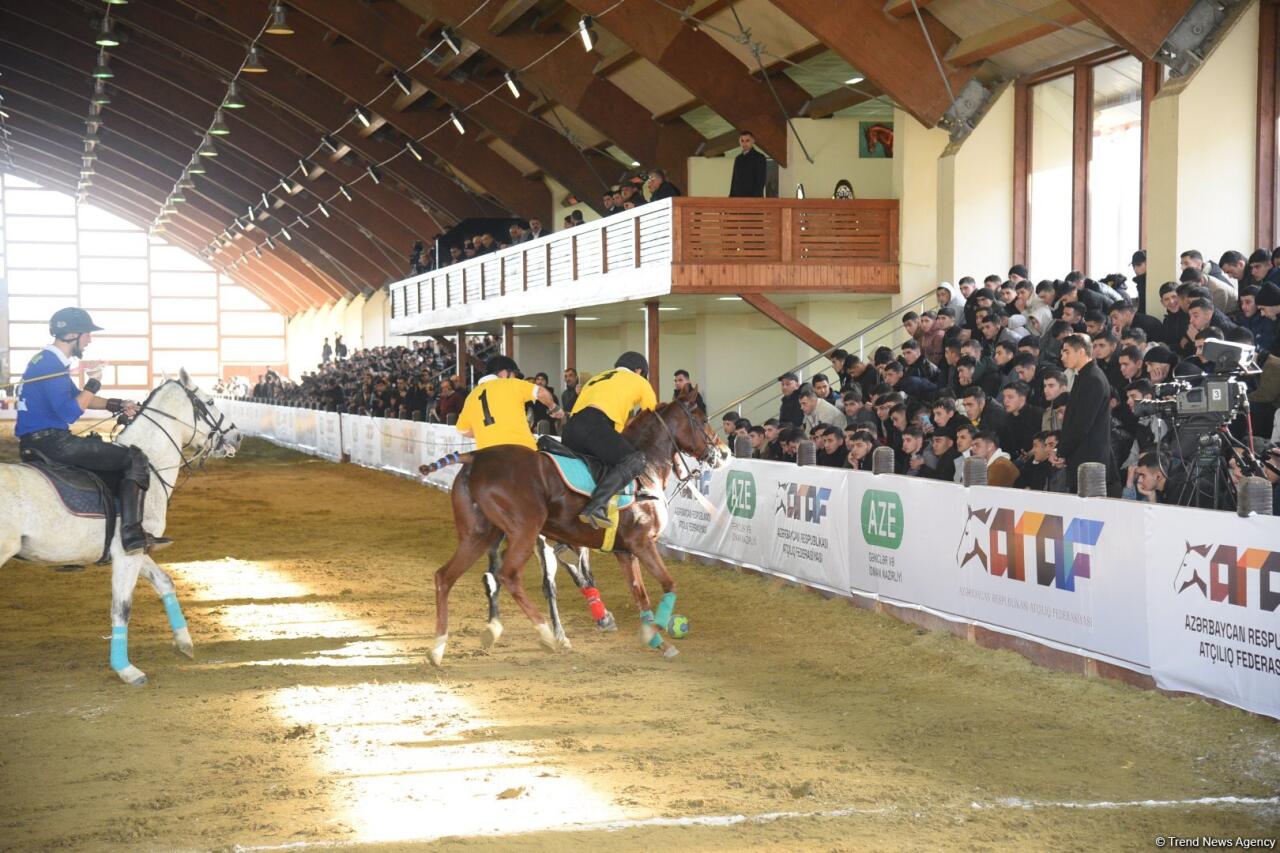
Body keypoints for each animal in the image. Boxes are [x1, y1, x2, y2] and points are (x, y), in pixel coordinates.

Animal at [0, 371, 240, 686]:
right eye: (210, 401)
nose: (236, 435)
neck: (153, 466)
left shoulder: (134, 547)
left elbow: (165, 582)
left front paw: (184, 642)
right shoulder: (128, 555)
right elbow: (121, 609)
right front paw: (127, 669)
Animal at [424, 384, 732, 666]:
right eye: (701, 418)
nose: (725, 452)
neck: (647, 471)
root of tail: (476, 457)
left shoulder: (625, 552)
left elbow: (640, 596)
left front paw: (656, 640)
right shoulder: (642, 543)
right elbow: (669, 584)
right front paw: (655, 632)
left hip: (478, 534)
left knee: (446, 577)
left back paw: (439, 647)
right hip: (525, 531)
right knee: (509, 576)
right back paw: (548, 635)